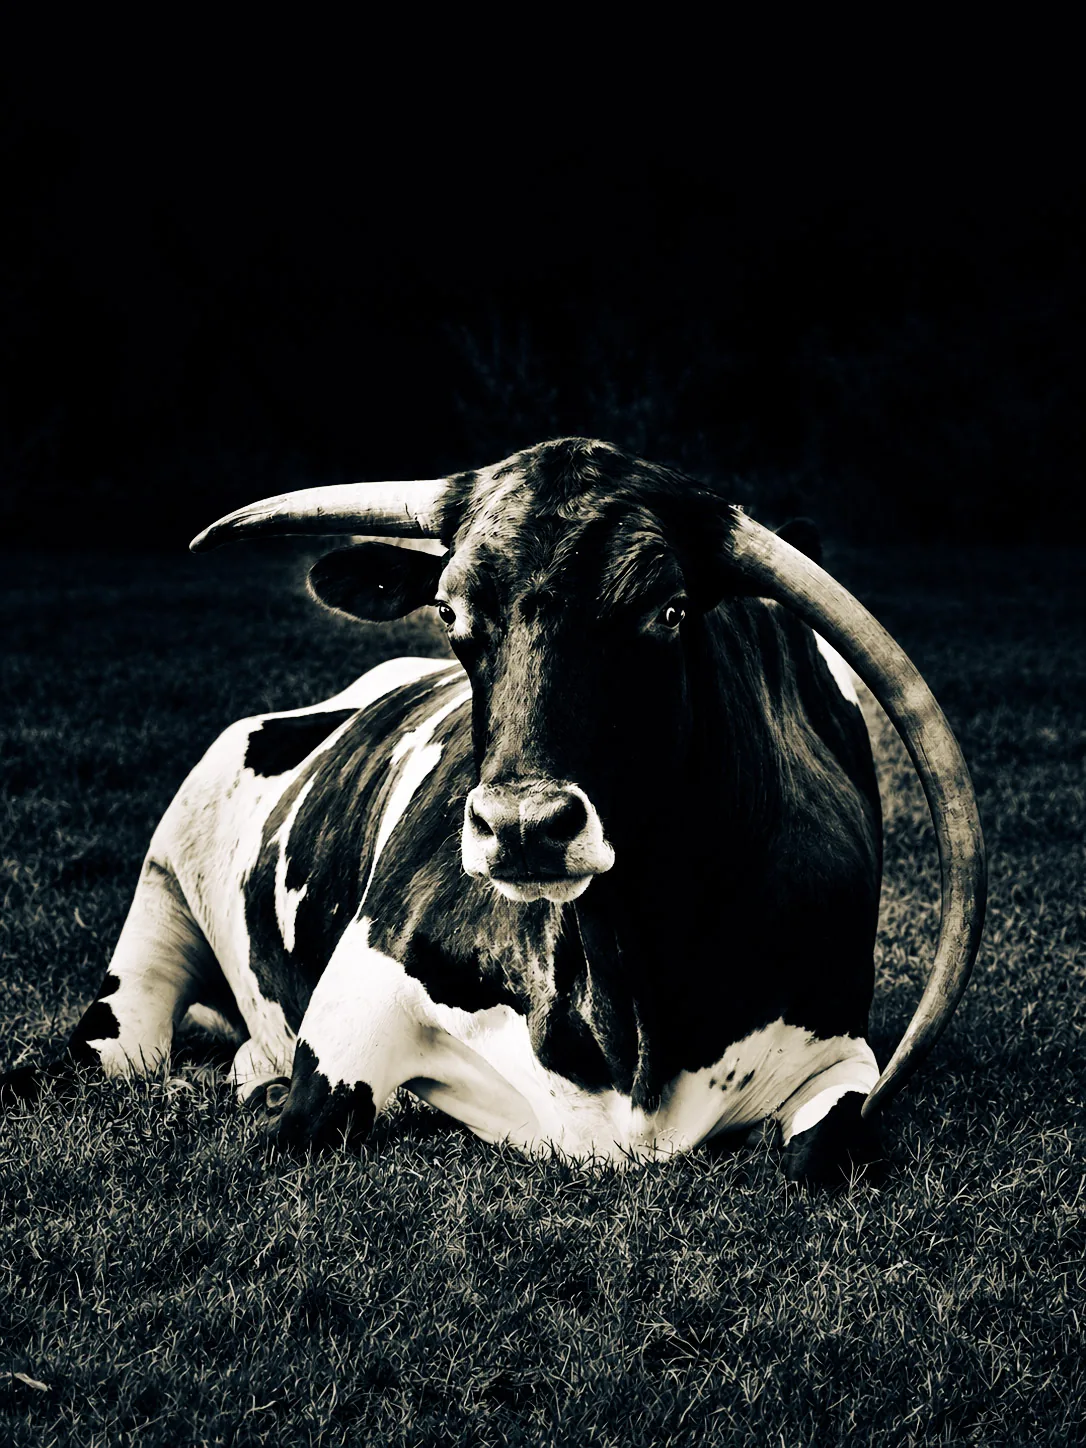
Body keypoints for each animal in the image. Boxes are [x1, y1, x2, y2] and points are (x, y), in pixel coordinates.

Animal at [1, 439, 986, 1181]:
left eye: (669, 610)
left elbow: (829, 1155)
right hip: (154, 909)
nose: (522, 825)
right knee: (114, 1049)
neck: (624, 992)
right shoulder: (348, 1028)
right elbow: (303, 1126)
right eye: (448, 610)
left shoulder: (841, 1062)